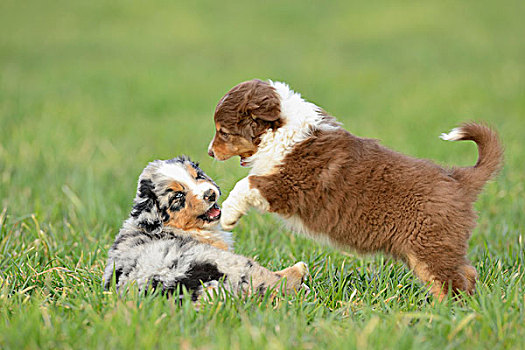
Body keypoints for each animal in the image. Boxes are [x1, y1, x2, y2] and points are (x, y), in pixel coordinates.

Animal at [103, 157, 308, 300]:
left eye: (198, 176)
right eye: (178, 196)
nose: (210, 194)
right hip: (225, 262)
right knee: (267, 280)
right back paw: (300, 271)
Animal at [207, 79, 502, 300]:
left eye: (223, 132)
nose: (209, 153)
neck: (281, 132)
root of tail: (458, 179)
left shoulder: (291, 183)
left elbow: (246, 183)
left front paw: (228, 216)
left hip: (430, 245)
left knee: (451, 281)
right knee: (467, 273)